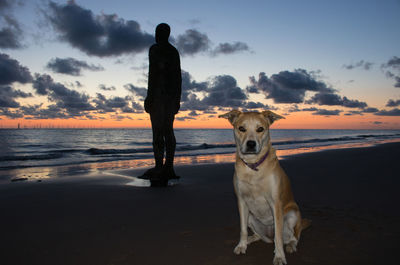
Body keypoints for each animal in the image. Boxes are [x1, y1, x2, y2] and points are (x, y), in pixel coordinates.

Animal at [219, 109, 310, 264]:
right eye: (241, 128)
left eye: (260, 129)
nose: (251, 144)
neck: (253, 166)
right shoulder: (241, 202)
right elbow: (243, 229)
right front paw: (241, 245)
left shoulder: (276, 203)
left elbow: (278, 237)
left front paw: (279, 256)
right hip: (251, 217)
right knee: (260, 236)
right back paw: (250, 240)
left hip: (292, 214)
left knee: (292, 237)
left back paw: (291, 245)